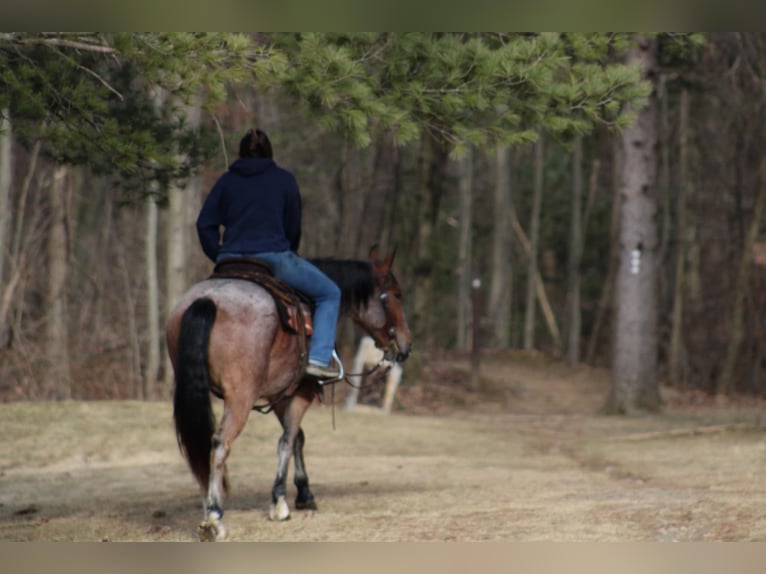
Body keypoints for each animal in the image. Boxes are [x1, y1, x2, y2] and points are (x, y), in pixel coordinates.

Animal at [165, 248, 412, 544]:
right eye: (396, 294)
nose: (406, 344)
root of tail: (207, 299)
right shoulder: (301, 392)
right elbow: (288, 439)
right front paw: (280, 501)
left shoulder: (282, 396)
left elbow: (296, 439)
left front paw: (304, 493)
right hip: (240, 399)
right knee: (220, 443)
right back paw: (214, 517)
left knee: (200, 445)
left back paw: (208, 507)